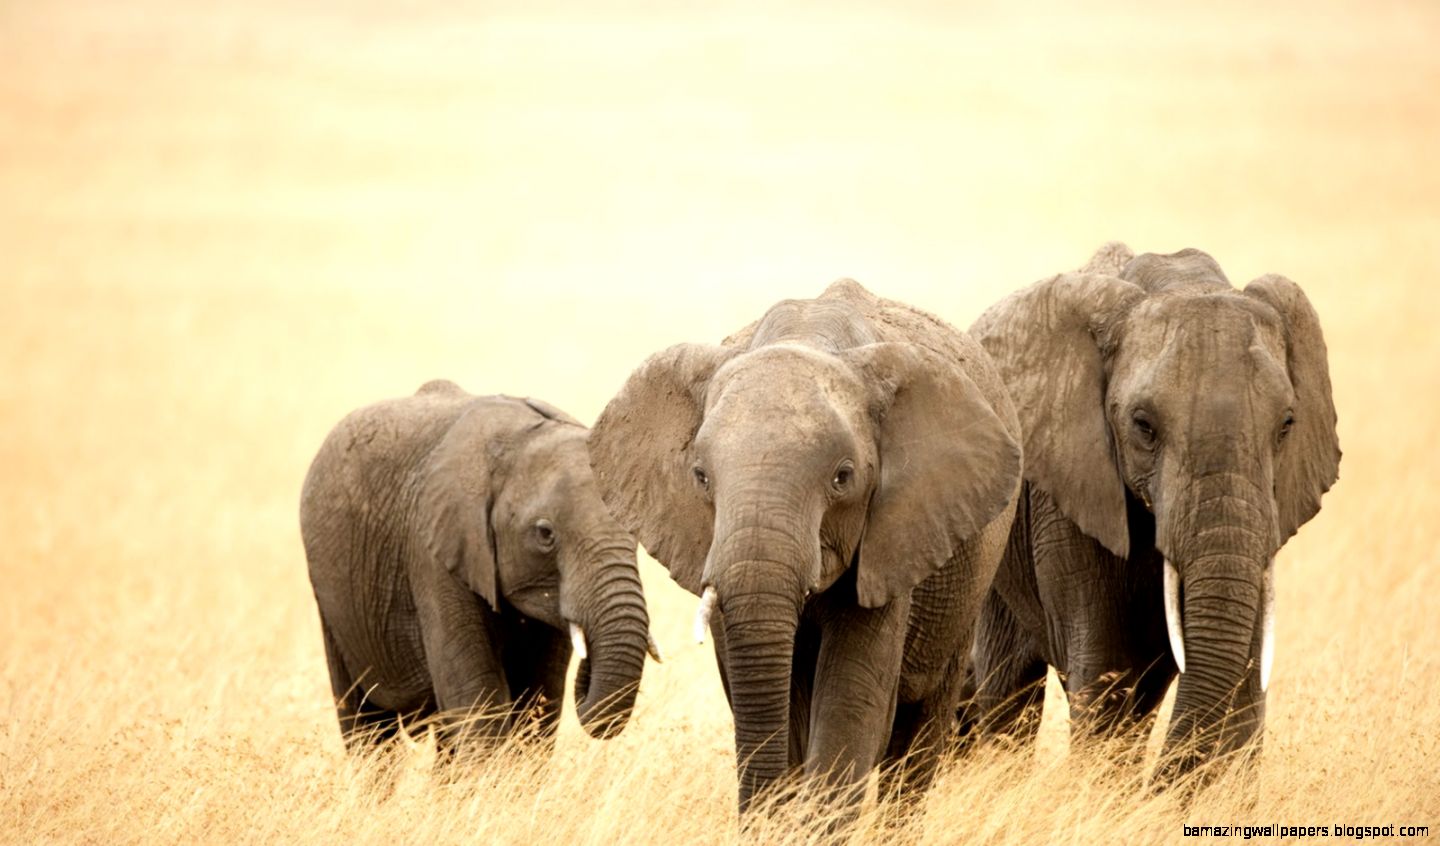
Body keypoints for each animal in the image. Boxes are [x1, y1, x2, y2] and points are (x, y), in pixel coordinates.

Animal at [300, 380, 656, 753]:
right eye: (545, 534)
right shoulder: (434, 551)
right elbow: (476, 698)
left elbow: (539, 700)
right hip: (331, 600)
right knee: (367, 726)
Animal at [962, 243, 1340, 784]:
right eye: (1143, 426)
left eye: (1287, 424)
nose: (1153, 789)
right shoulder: (1071, 497)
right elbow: (1106, 669)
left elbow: (1245, 668)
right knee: (1007, 686)